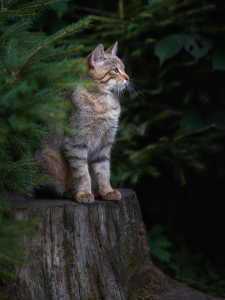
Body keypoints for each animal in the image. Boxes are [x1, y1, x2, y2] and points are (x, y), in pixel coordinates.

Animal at [35, 41, 130, 204]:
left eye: (123, 69)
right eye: (115, 70)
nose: (128, 78)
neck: (105, 102)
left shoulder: (104, 145)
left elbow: (104, 171)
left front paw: (107, 191)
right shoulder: (75, 144)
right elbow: (82, 173)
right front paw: (84, 193)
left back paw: (96, 190)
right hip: (50, 162)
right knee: (54, 190)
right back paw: (73, 192)